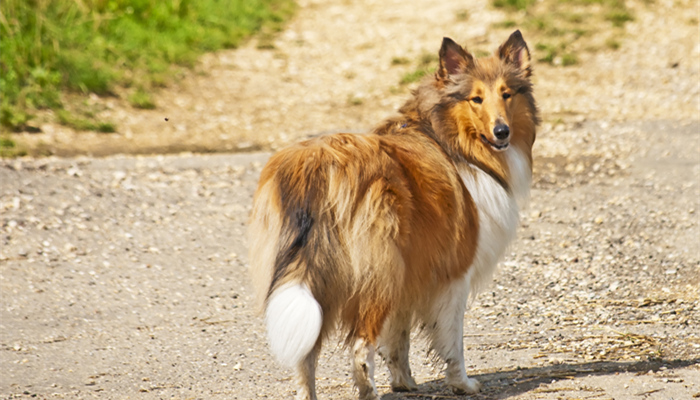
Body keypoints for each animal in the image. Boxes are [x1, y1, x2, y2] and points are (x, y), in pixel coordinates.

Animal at [249, 29, 540, 398]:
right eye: (476, 99)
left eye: (507, 94)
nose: (502, 131)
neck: (447, 137)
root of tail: (316, 166)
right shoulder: (453, 272)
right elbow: (452, 340)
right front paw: (462, 383)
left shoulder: (410, 270)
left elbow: (399, 337)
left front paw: (404, 382)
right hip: (378, 271)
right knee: (361, 345)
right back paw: (368, 389)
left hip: (320, 277)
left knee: (306, 355)